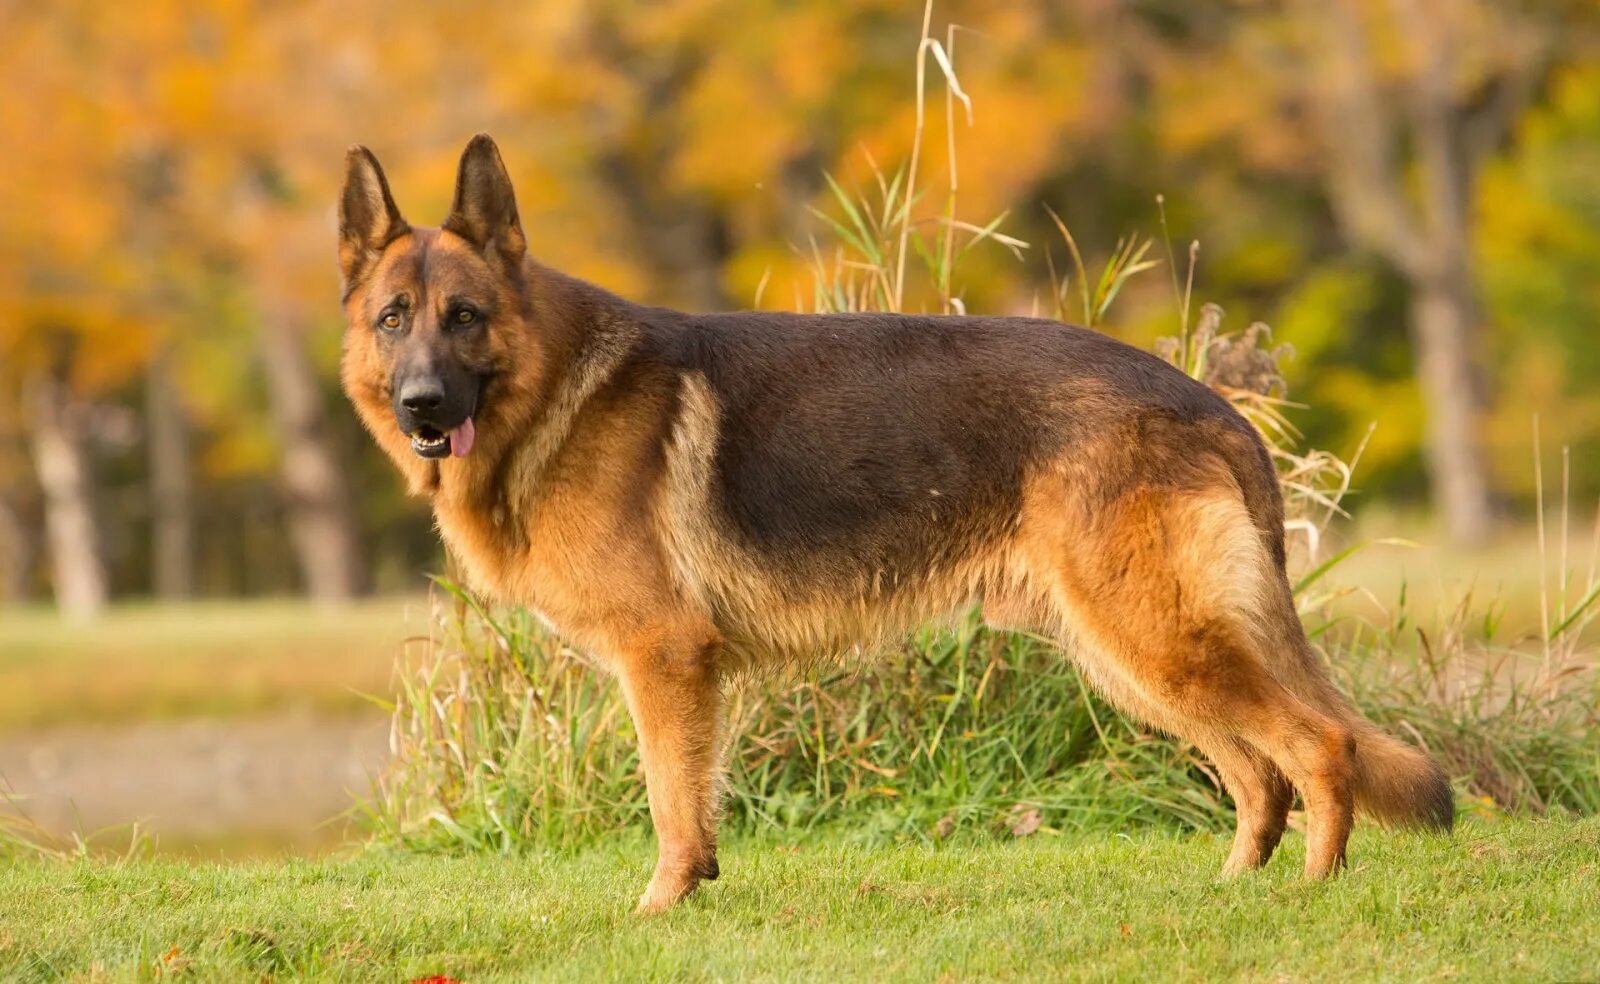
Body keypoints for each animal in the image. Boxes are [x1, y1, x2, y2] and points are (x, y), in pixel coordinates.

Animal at [337, 134, 1452, 915]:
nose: (424, 406)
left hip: (1156, 641)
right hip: (1129, 655)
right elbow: (692, 805)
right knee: (1256, 774)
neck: (552, 389)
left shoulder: (665, 658)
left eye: (466, 317)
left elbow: (668, 804)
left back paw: (1311, 893)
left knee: (1317, 748)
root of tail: (1210, 403)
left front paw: (657, 908)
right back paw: (1232, 892)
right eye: (393, 319)